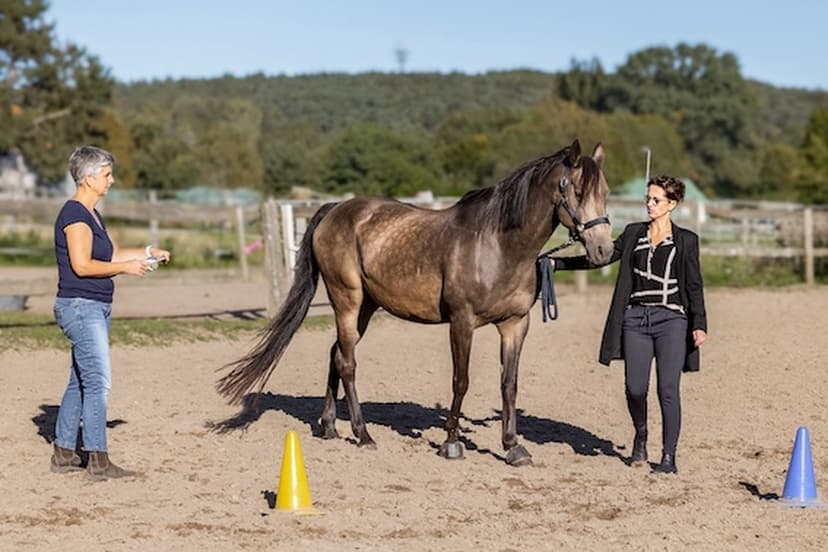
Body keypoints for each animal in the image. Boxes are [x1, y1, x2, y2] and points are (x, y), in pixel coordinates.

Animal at [217, 139, 613, 466]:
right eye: (578, 190)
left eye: (606, 192)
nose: (604, 250)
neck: (499, 246)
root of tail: (336, 209)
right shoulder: (462, 322)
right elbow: (461, 381)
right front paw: (451, 443)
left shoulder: (515, 324)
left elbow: (509, 384)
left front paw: (513, 446)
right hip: (347, 300)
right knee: (347, 363)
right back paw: (362, 434)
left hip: (366, 307)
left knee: (336, 354)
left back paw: (329, 427)